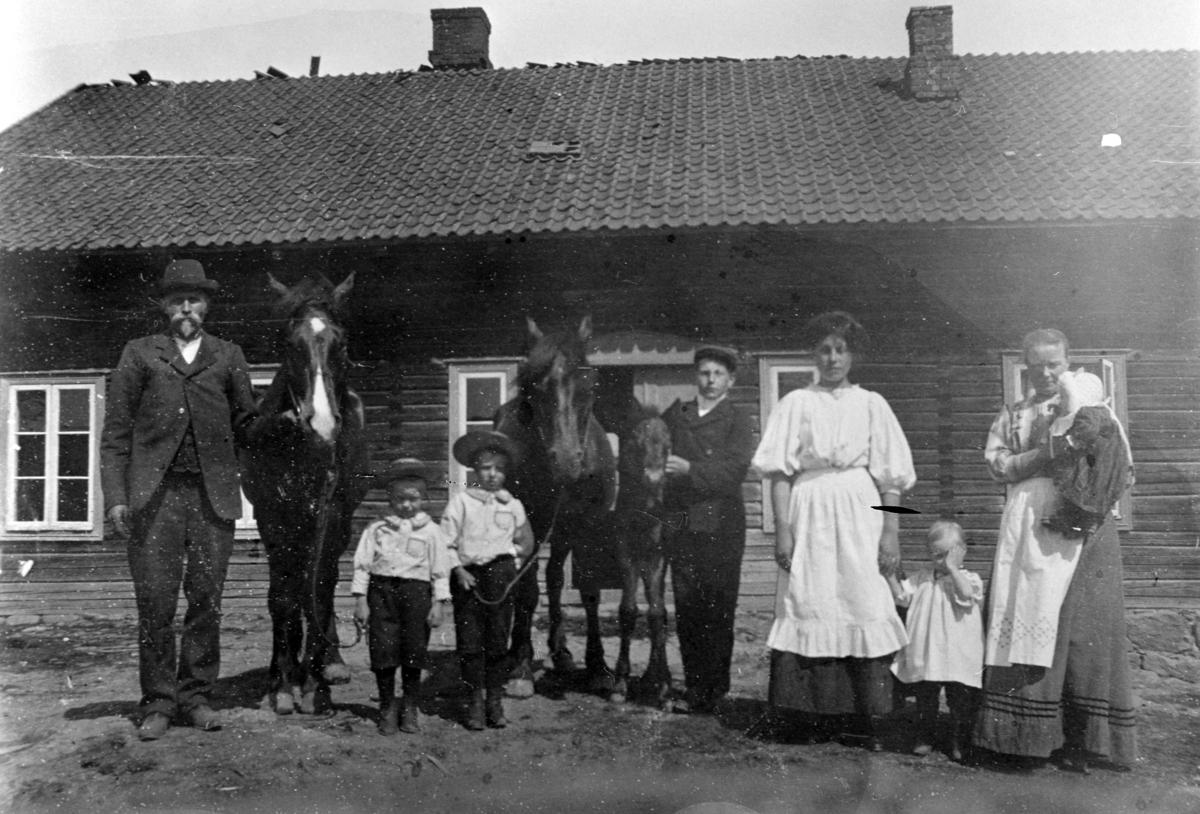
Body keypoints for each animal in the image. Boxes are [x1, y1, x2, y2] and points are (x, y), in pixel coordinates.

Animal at [242, 273, 369, 715]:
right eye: (289, 343)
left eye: (342, 343)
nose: (323, 426)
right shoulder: (273, 516)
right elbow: (282, 596)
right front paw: (282, 684)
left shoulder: (332, 513)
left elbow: (321, 587)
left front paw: (317, 684)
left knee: (319, 583)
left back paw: (327, 664)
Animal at [494, 314, 619, 696]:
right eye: (534, 386)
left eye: (590, 384)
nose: (565, 462)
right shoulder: (530, 524)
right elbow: (526, 591)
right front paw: (521, 667)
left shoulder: (588, 525)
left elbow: (589, 591)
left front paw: (598, 666)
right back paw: (513, 653)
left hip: (563, 530)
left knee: (553, 578)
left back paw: (560, 652)